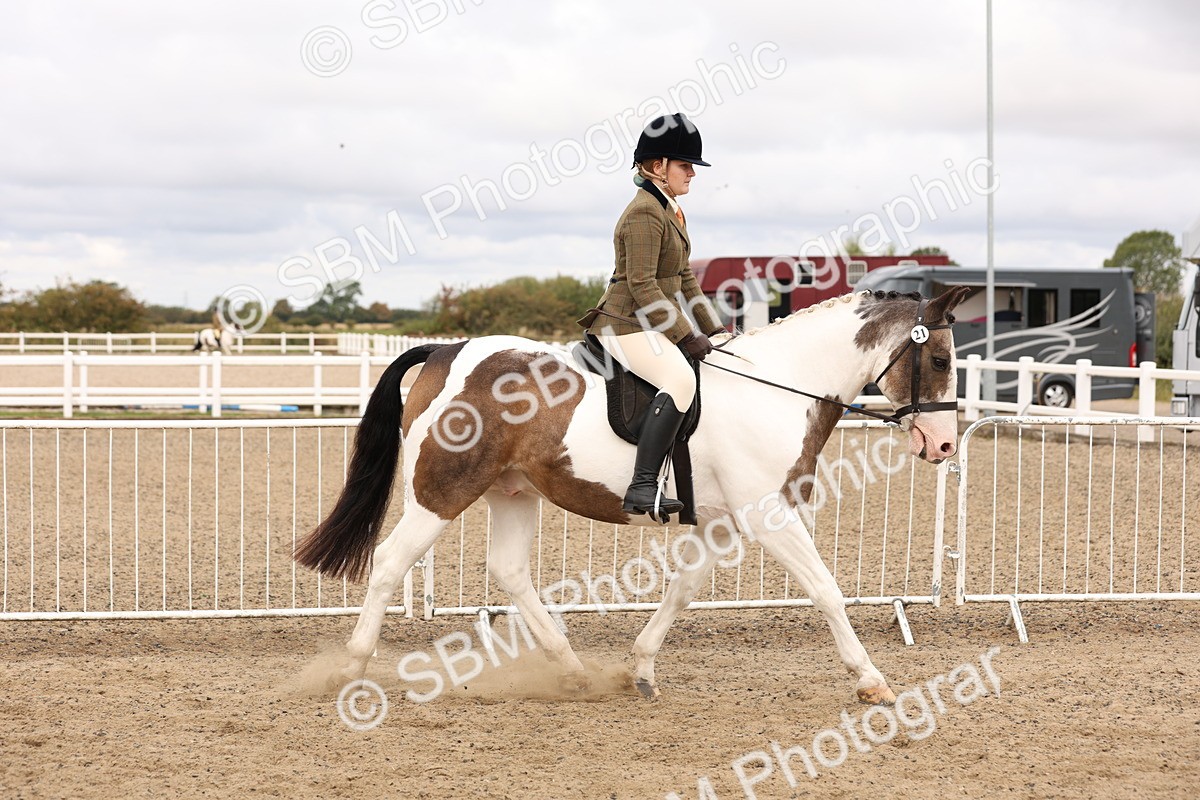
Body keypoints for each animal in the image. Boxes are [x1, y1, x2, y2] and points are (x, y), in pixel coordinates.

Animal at [295, 286, 970, 705]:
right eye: (939, 359)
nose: (943, 445)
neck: (775, 387)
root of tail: (446, 350)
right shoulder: (768, 515)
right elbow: (826, 589)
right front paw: (872, 681)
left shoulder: (720, 522)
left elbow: (683, 590)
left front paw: (641, 670)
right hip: (442, 489)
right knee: (390, 563)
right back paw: (351, 669)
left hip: (513, 490)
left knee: (509, 571)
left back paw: (571, 671)